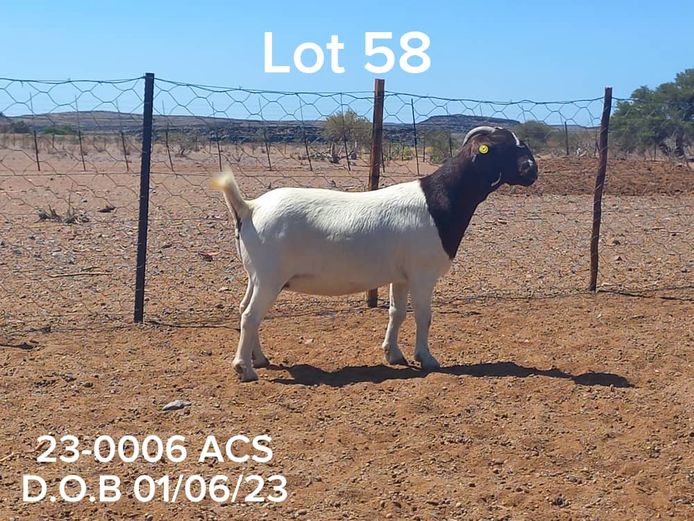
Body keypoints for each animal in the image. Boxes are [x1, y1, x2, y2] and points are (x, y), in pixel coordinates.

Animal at [212, 126, 538, 382]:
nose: (531, 170)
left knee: (244, 309)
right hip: (269, 276)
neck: (439, 200)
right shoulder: (423, 273)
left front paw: (393, 354)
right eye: (501, 148)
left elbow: (397, 313)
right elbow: (424, 315)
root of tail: (249, 207)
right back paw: (244, 369)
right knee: (251, 315)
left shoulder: (401, 276)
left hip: (256, 275)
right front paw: (426, 358)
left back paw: (259, 359)